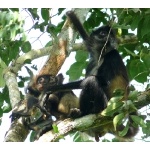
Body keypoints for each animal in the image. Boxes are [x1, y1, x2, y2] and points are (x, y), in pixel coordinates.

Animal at [42, 11, 139, 141]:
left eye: (110, 36)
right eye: (103, 34)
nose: (108, 39)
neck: (101, 56)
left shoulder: (113, 55)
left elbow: (101, 81)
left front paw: (52, 88)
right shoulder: (92, 60)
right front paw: (73, 17)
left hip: (105, 105)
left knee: (91, 81)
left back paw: (82, 113)